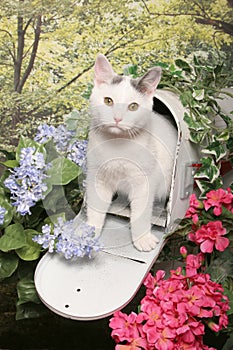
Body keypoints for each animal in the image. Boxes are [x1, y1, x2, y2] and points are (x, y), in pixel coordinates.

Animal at [85, 54, 177, 252]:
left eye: (133, 106)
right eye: (108, 101)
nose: (117, 118)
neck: (117, 145)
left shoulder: (144, 182)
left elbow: (140, 214)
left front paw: (142, 238)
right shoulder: (97, 177)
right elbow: (95, 208)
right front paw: (89, 233)